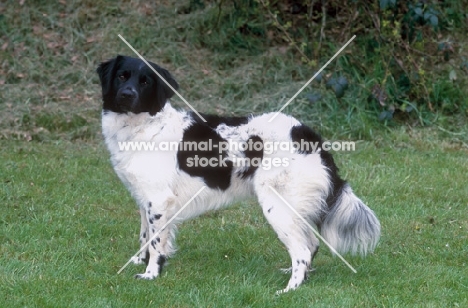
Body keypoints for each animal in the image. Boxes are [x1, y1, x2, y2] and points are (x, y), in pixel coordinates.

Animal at [96, 55, 380, 294]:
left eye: (145, 82)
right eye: (122, 76)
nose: (126, 94)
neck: (144, 126)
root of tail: (308, 135)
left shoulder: (158, 200)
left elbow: (156, 244)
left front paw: (151, 274)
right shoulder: (145, 200)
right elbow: (145, 236)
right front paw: (138, 261)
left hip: (277, 206)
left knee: (302, 250)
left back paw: (289, 290)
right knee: (310, 244)